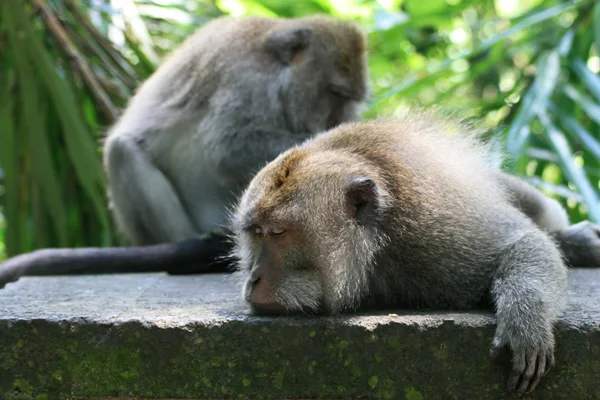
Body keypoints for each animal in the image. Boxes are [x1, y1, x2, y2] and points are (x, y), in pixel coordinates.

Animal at [0, 14, 370, 286]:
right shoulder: (246, 81)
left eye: (351, 99)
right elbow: (229, 145)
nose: (338, 118)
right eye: (335, 93)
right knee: (122, 151)